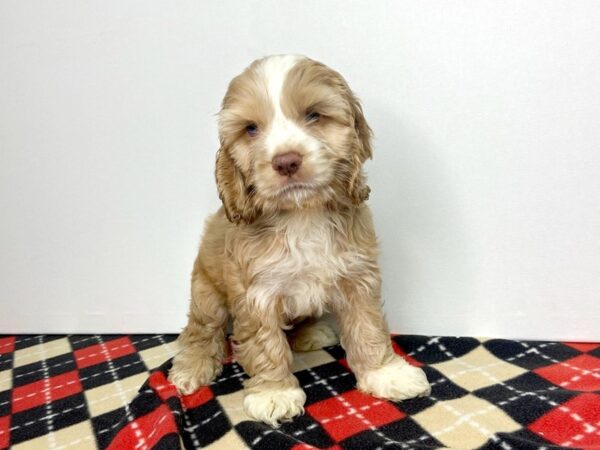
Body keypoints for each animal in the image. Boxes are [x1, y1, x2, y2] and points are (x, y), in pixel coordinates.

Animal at [169, 55, 432, 426]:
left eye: (313, 115)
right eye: (251, 129)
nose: (286, 161)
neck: (301, 214)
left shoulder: (358, 276)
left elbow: (368, 327)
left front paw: (385, 374)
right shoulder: (256, 292)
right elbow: (265, 343)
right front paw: (273, 393)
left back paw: (311, 333)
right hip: (206, 293)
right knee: (201, 331)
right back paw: (193, 366)